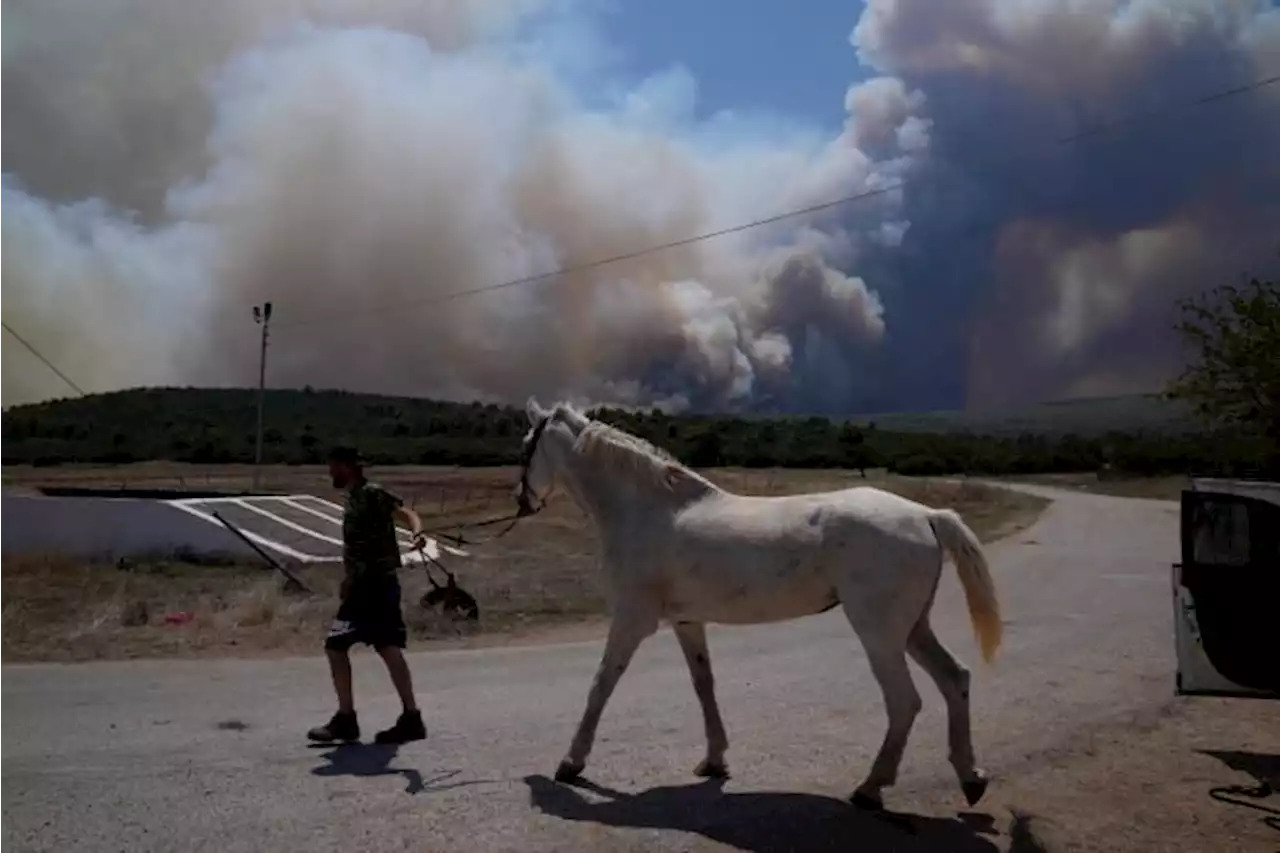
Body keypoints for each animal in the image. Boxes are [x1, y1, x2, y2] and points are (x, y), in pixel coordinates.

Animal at [517, 394, 998, 809]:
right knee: (954, 679)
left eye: (526, 446)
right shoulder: (687, 623)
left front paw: (572, 763)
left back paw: (870, 787)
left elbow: (601, 685)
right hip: (914, 628)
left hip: (879, 633)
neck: (650, 511)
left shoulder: (632, 620)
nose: (522, 502)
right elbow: (703, 684)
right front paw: (714, 760)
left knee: (904, 702)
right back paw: (971, 778)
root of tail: (927, 516)